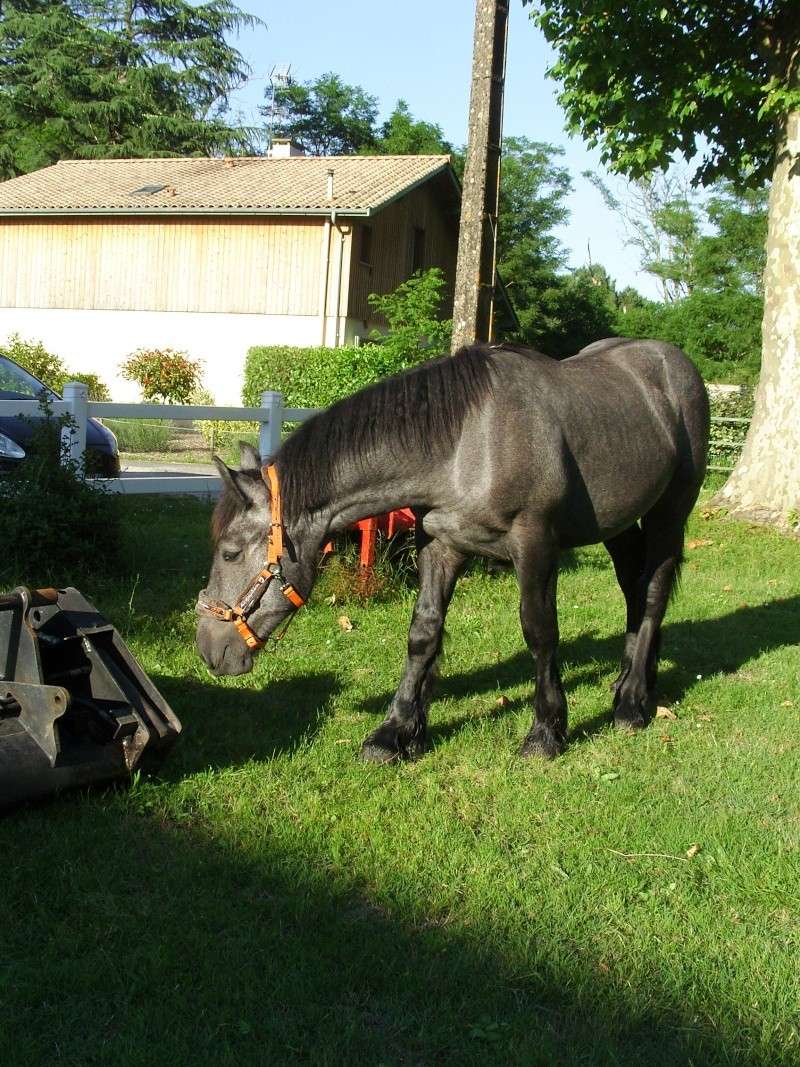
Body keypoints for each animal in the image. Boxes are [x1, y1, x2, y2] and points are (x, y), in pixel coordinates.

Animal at [197, 337, 712, 763]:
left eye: (230, 553)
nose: (209, 650)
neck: (465, 444)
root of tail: (671, 361)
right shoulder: (440, 545)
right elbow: (423, 632)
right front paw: (395, 732)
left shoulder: (536, 545)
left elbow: (540, 631)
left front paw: (546, 731)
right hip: (615, 522)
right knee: (633, 587)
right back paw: (631, 680)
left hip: (670, 512)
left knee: (653, 592)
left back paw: (631, 703)